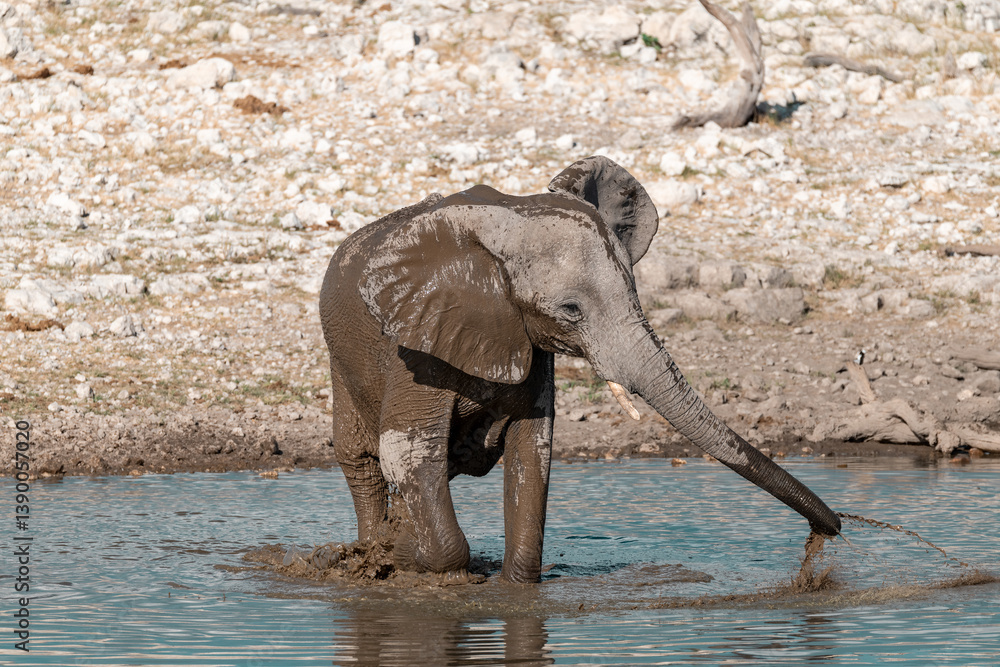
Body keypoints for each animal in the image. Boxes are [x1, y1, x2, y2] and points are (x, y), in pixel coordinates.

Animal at [319, 155, 841, 584]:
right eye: (570, 310)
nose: (830, 530)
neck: (508, 224)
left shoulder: (527, 344)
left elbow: (533, 451)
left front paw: (509, 584)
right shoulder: (419, 345)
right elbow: (408, 450)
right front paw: (406, 558)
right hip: (342, 360)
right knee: (364, 461)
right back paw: (374, 548)